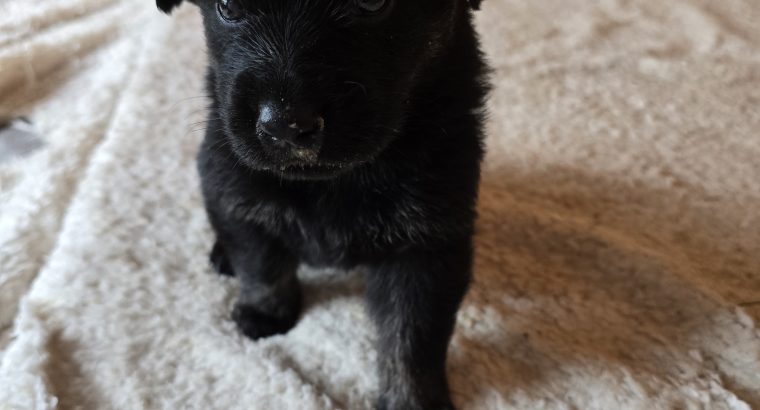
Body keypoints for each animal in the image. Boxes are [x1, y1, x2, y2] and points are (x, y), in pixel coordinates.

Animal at [158, 1, 490, 408]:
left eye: (372, 4)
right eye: (228, 7)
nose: (283, 125)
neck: (331, 182)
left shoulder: (429, 243)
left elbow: (413, 335)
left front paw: (411, 400)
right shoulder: (230, 190)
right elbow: (260, 263)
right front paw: (265, 313)